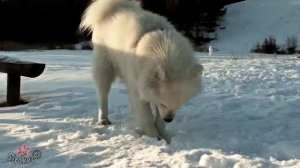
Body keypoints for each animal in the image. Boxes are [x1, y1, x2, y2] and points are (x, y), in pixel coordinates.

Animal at [80, 0, 204, 143]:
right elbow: (147, 117)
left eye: (179, 104)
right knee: (103, 96)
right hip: (104, 69)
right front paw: (153, 137)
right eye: (163, 103)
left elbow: (158, 119)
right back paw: (103, 120)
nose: (169, 119)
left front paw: (164, 135)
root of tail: (114, 8)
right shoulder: (139, 90)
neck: (164, 49)